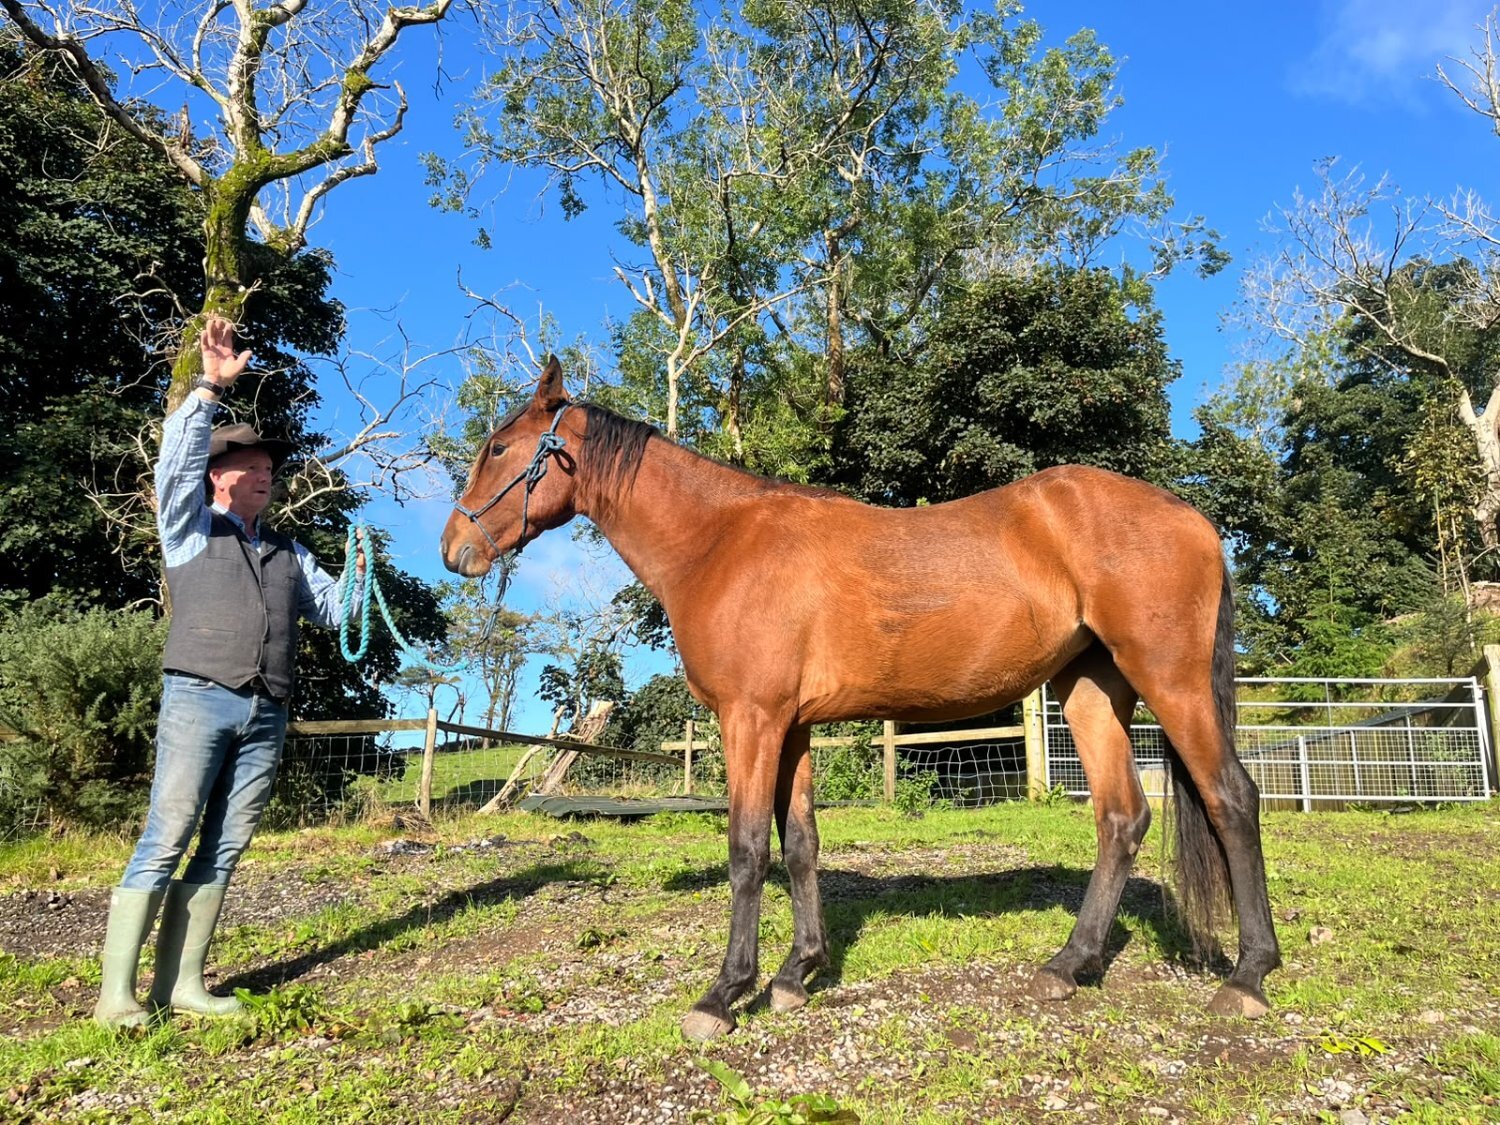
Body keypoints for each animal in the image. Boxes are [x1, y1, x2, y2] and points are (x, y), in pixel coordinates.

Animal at [440, 358, 1280, 1041]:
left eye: (500, 448)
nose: (455, 548)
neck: (720, 541)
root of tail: (1189, 515)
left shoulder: (750, 720)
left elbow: (748, 849)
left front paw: (724, 994)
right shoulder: (791, 727)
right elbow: (801, 844)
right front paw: (796, 973)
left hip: (1170, 681)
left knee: (1232, 798)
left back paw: (1248, 976)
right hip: (1091, 691)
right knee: (1121, 818)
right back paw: (1067, 964)